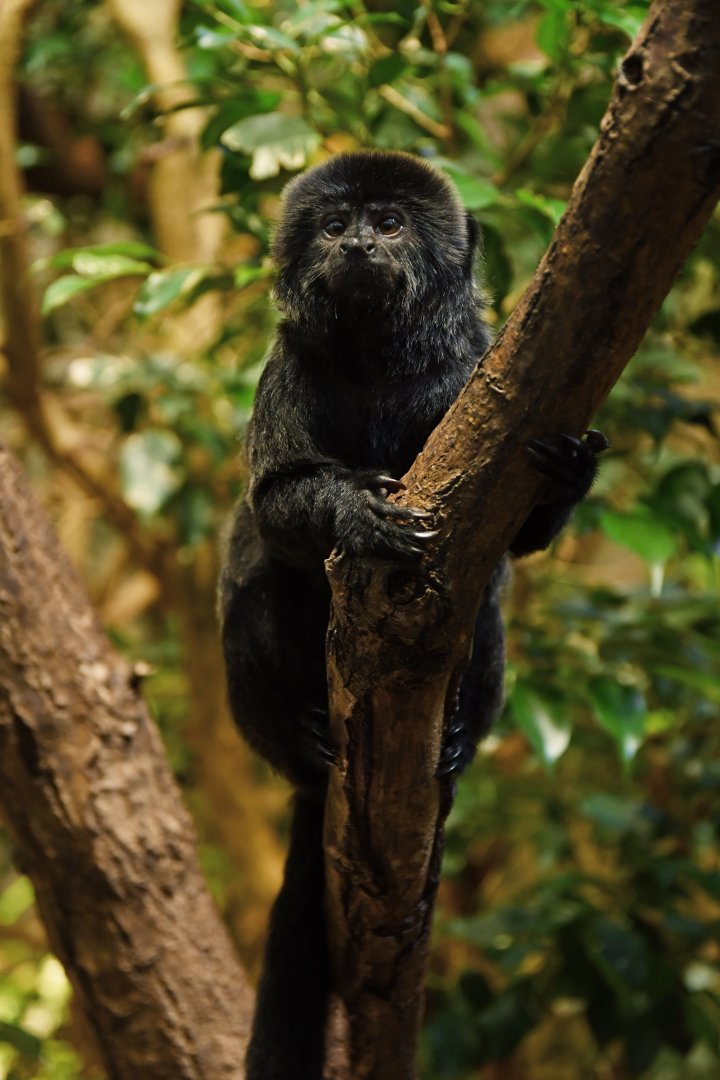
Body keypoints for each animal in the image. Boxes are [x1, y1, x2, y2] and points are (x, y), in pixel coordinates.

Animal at [218, 150, 607, 1079]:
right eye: (334, 226)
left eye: (389, 223)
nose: (357, 243)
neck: (379, 362)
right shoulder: (287, 367)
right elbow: (275, 503)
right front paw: (357, 517)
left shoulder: (469, 370)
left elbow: (522, 542)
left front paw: (571, 473)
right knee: (257, 581)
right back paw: (308, 736)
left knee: (486, 610)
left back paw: (455, 741)